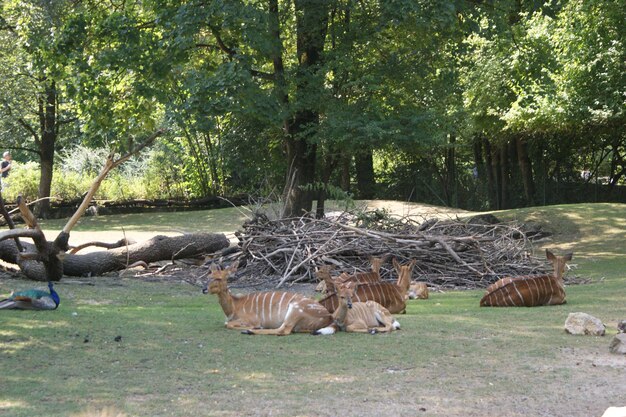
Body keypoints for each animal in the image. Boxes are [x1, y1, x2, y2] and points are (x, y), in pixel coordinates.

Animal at [204, 262, 332, 334]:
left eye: (219, 278)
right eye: (209, 276)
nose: (204, 289)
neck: (234, 307)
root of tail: (328, 317)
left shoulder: (252, 319)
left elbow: (227, 324)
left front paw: (253, 327)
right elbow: (226, 323)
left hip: (295, 310)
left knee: (283, 330)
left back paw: (249, 331)